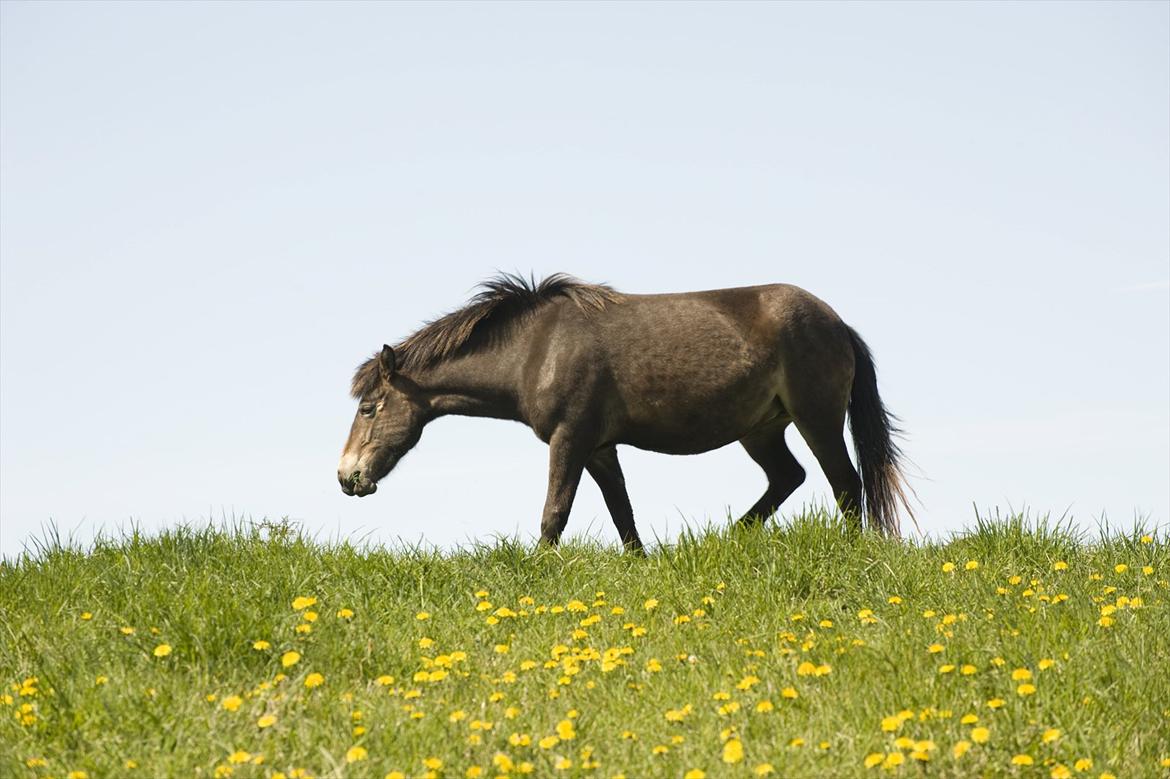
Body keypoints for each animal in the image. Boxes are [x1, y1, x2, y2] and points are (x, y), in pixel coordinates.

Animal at [339, 270, 912, 549]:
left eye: (368, 408)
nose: (347, 477)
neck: (536, 348)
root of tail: (838, 323)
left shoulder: (570, 439)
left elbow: (554, 513)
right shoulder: (599, 447)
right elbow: (624, 515)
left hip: (817, 420)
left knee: (846, 484)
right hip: (762, 430)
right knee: (788, 477)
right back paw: (727, 538)